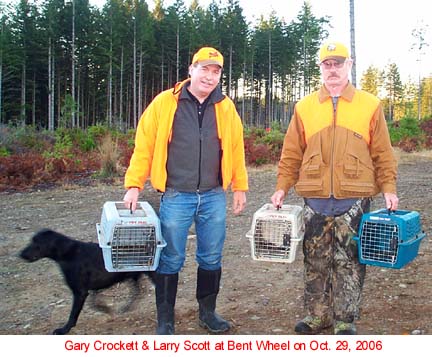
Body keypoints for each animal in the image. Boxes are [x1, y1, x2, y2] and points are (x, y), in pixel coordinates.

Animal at [20, 228, 156, 334]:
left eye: (37, 243)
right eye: (31, 240)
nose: (20, 254)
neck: (68, 253)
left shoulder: (80, 292)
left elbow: (73, 313)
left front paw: (64, 329)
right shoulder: (92, 288)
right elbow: (94, 302)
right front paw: (105, 309)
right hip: (133, 276)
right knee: (139, 291)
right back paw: (126, 307)